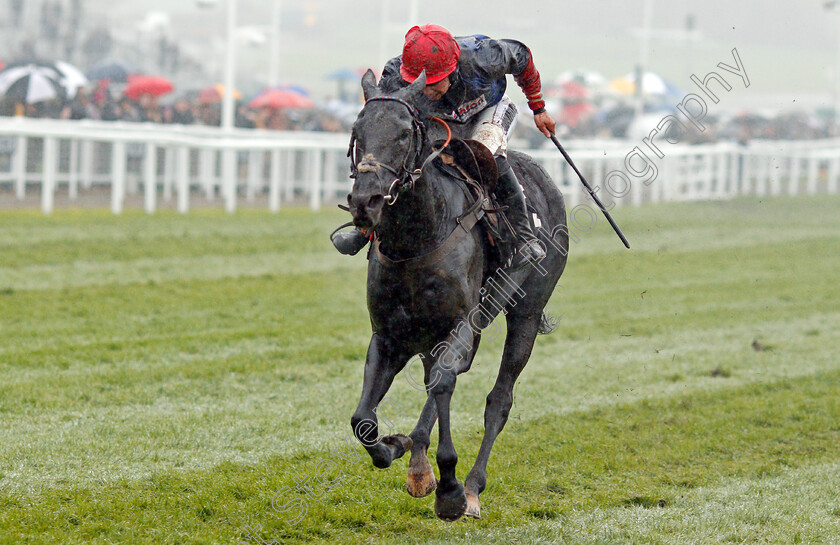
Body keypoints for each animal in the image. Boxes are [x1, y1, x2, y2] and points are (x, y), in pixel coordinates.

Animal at [348, 70, 572, 520]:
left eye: (403, 134)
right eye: (357, 131)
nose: (366, 201)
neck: (418, 238)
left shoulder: (460, 324)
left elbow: (446, 385)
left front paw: (449, 488)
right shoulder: (389, 335)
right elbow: (363, 419)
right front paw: (395, 447)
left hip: (525, 312)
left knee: (497, 399)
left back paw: (470, 487)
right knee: (437, 379)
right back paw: (418, 460)